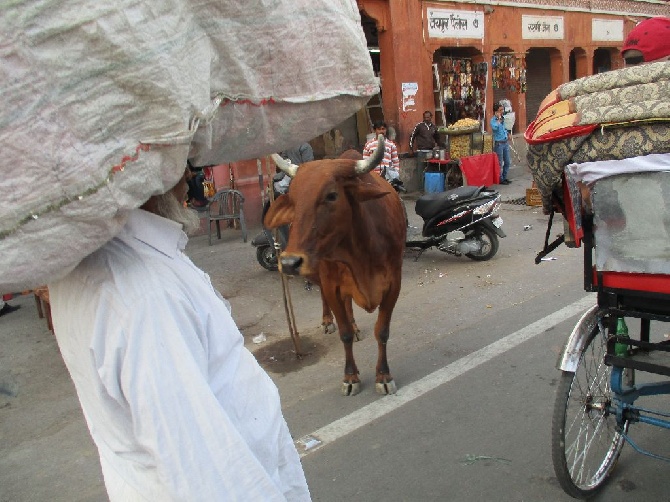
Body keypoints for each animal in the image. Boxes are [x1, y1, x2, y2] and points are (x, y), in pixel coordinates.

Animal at [266, 138, 406, 396]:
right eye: (294, 199)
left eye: (331, 195)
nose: (289, 262)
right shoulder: (332, 286)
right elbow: (345, 334)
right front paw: (350, 377)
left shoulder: (393, 284)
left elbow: (382, 331)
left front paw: (383, 376)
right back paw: (327, 321)